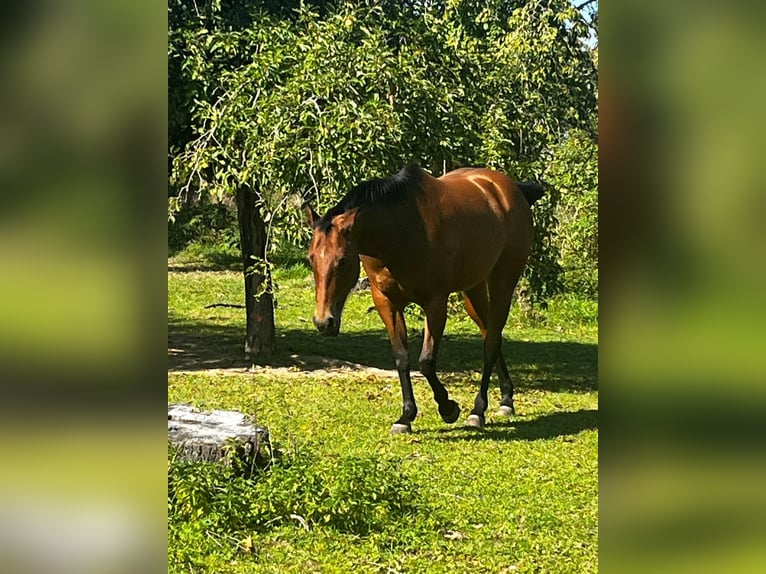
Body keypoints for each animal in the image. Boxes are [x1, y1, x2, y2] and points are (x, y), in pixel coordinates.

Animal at [302, 164, 544, 434]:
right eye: (311, 258)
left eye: (342, 260)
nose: (324, 322)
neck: (400, 231)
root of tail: (508, 188)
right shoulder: (387, 302)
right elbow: (401, 357)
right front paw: (405, 416)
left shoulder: (435, 302)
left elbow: (426, 362)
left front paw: (448, 408)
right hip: (473, 288)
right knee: (490, 333)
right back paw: (505, 399)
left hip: (503, 279)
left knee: (491, 340)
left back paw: (478, 410)